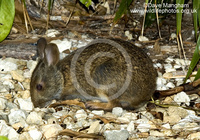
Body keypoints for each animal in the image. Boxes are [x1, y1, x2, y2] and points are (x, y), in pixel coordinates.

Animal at [30, 37, 158, 110]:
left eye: (39, 87)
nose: (36, 105)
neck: (63, 77)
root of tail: (145, 94)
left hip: (103, 79)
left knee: (113, 104)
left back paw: (93, 105)